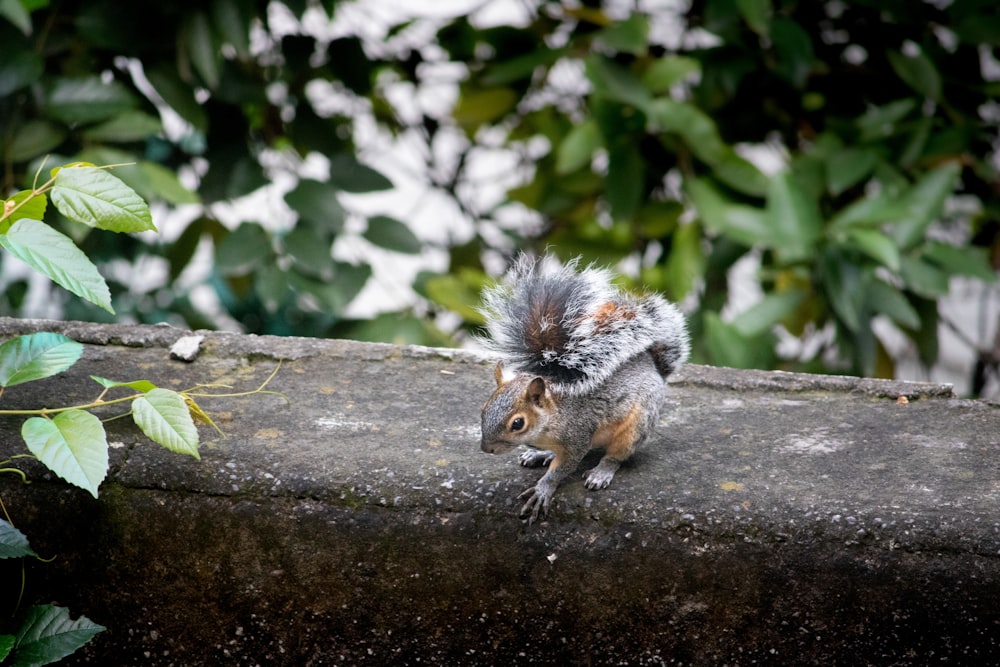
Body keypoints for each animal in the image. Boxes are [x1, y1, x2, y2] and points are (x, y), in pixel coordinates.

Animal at [476, 253, 688, 524]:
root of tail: (654, 367)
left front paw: (543, 489)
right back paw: (541, 455)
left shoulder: (577, 436)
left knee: (616, 455)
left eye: (518, 423)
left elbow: (564, 468)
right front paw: (539, 455)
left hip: (636, 425)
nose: (486, 449)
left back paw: (601, 471)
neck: (552, 419)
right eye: (483, 408)